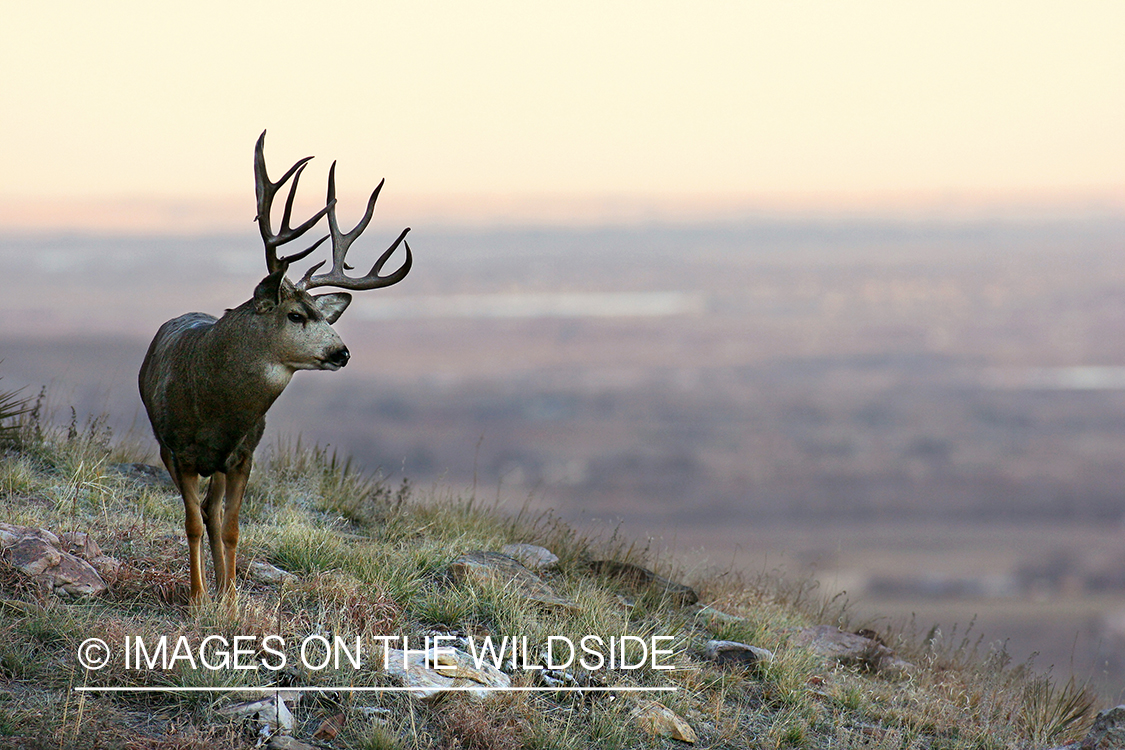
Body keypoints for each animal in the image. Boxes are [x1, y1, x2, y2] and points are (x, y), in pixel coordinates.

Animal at [139, 132, 414, 607]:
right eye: (296, 315)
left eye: (323, 314)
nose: (342, 352)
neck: (213, 407)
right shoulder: (177, 451)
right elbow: (190, 523)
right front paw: (197, 598)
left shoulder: (242, 455)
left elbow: (231, 528)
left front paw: (230, 599)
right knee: (201, 514)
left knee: (214, 513)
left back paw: (222, 585)